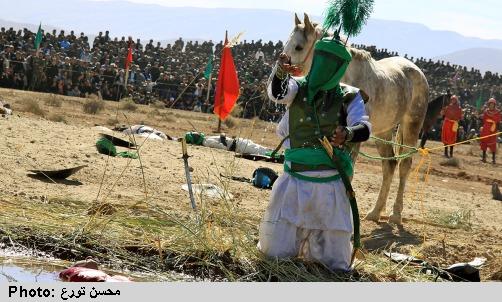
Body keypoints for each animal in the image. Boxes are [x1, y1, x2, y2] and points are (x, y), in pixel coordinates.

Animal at [284, 14, 430, 225]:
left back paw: (395, 214)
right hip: (383, 132)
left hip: (411, 126)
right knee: (389, 165)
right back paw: (375, 212)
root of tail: (417, 71)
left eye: (298, 47)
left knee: (404, 165)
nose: (282, 63)